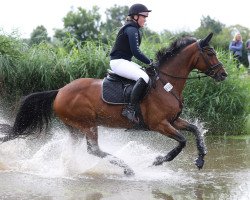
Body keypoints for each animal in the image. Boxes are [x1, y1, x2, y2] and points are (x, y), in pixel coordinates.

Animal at [0, 32, 227, 175]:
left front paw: (200, 160)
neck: (166, 84)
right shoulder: (159, 124)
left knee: (76, 150)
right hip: (88, 124)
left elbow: (195, 130)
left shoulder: (173, 120)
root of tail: (60, 91)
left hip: (75, 128)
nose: (223, 74)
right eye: (210, 53)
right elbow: (182, 141)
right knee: (94, 150)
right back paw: (127, 168)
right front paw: (158, 160)